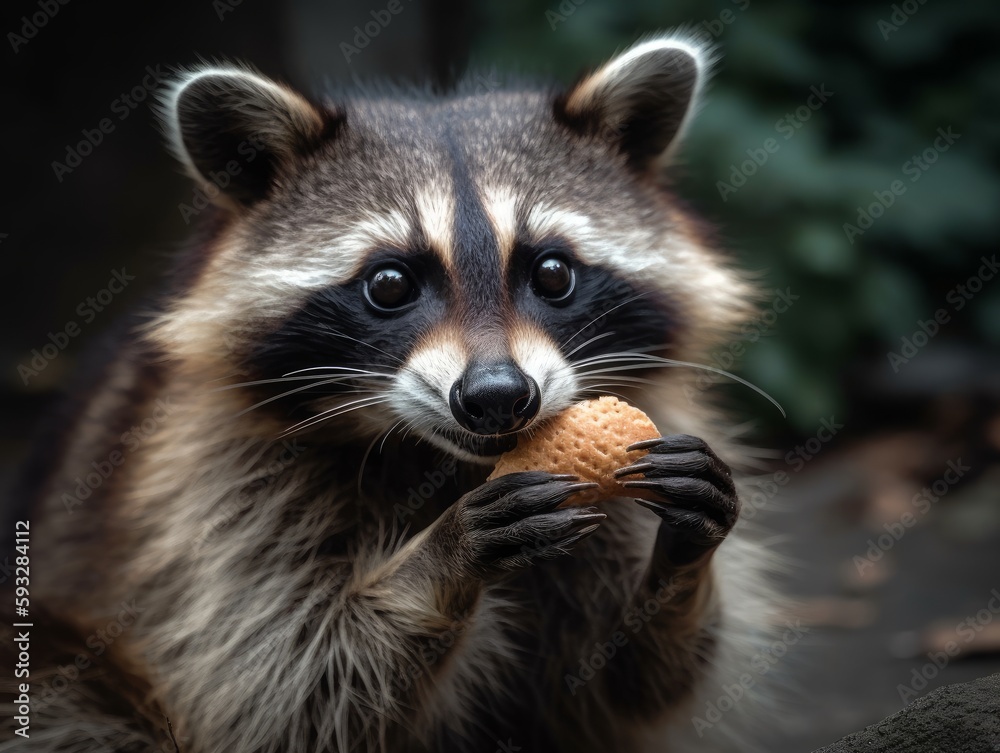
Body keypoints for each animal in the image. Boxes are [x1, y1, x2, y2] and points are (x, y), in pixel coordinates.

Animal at [3, 33, 776, 752]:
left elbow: (614, 688)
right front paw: (442, 557)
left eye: (553, 273)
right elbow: (289, 690)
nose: (498, 396)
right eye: (390, 284)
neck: (446, 463)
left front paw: (682, 558)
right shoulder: (218, 495)